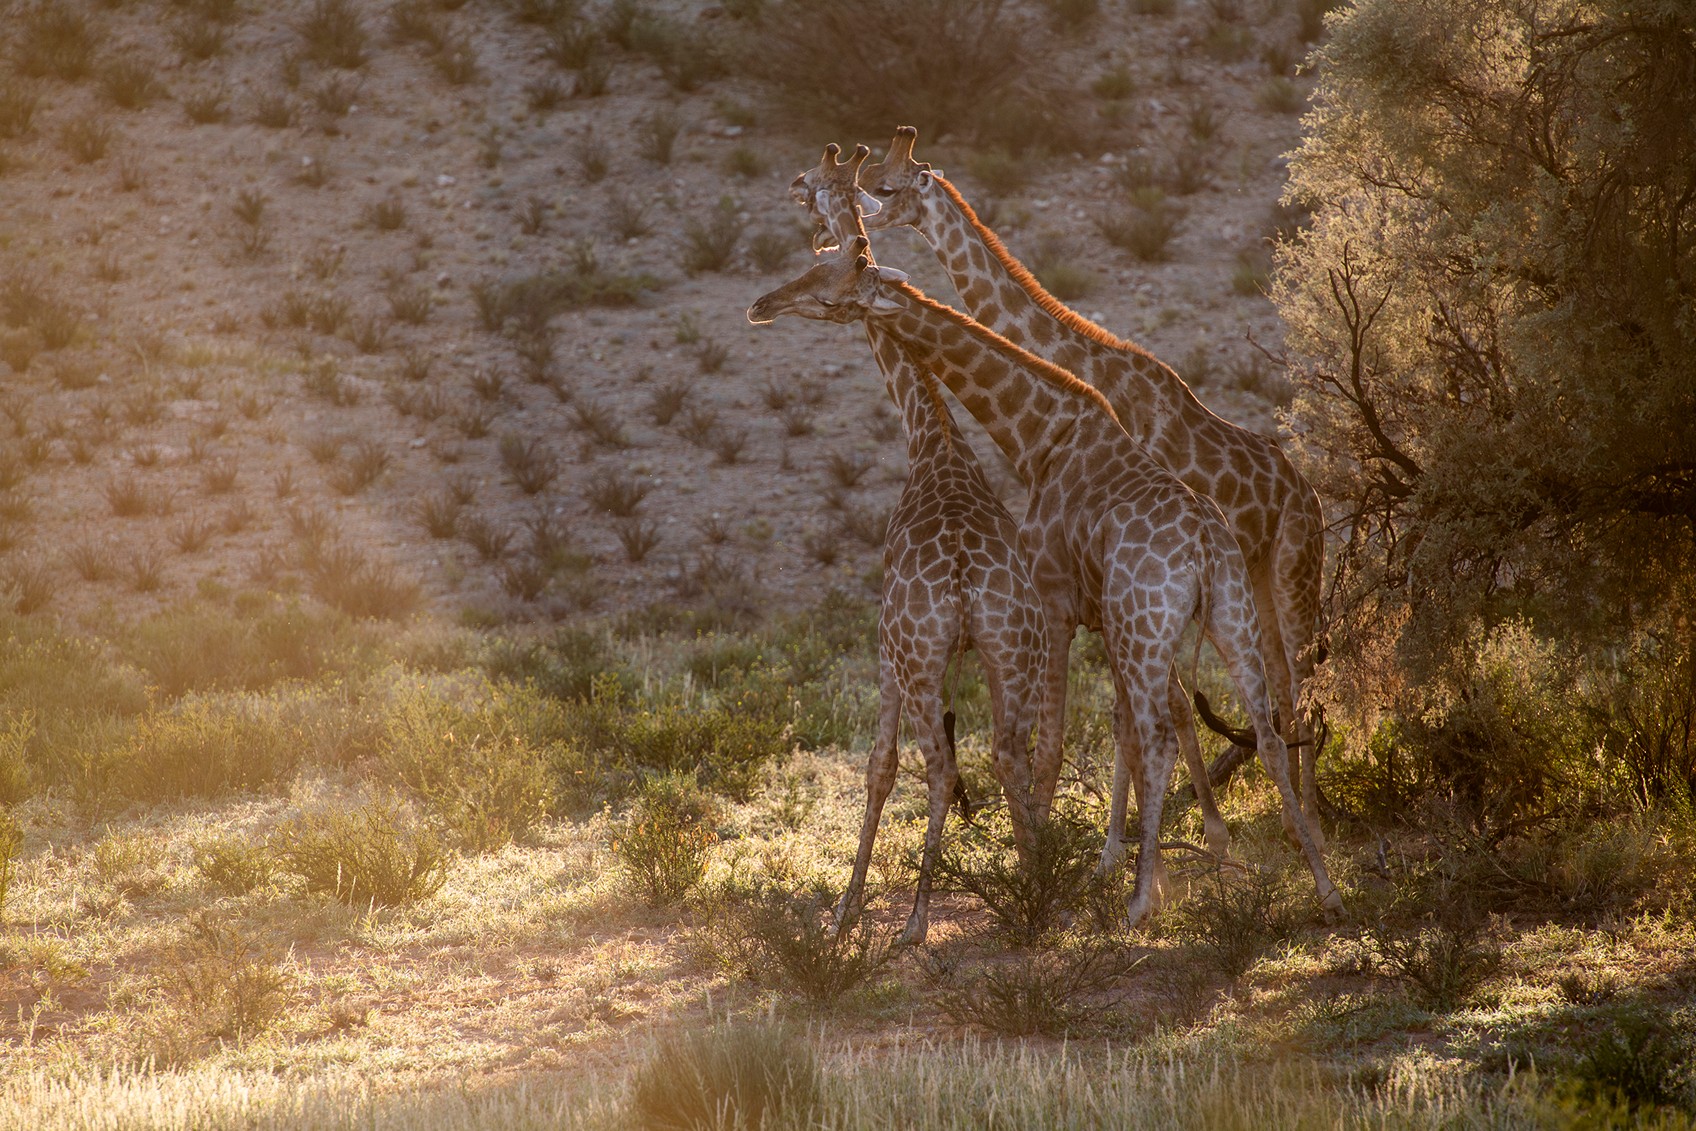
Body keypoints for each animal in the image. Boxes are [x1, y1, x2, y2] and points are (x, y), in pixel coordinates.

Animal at [749, 249, 1343, 929]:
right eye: (815, 263)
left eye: (831, 289)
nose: (762, 305)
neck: (1041, 433)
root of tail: (1198, 543)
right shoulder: (1094, 615)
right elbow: (1105, 734)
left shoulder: (1055, 603)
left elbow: (1051, 747)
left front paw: (1071, 873)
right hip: (1230, 613)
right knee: (1266, 729)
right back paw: (1323, 886)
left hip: (1149, 625)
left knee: (1156, 734)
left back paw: (1136, 904)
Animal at [780, 148, 1044, 949]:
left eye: (824, 280)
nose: (762, 304)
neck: (932, 440)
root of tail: (962, 578)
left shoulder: (885, 647)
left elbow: (878, 764)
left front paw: (845, 910)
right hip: (1013, 644)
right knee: (1010, 754)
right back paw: (1040, 890)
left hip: (923, 653)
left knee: (937, 765)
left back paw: (918, 922)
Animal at [861, 128, 1322, 844]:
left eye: (889, 186)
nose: (857, 222)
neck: (1081, 368)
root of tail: (1308, 493)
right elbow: (1144, 715)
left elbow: (1147, 715)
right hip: (1256, 580)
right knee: (1279, 685)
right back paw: (1294, 815)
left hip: (1294, 567)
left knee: (1300, 680)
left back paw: (1312, 821)